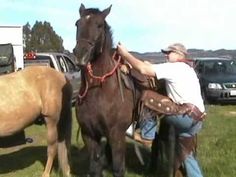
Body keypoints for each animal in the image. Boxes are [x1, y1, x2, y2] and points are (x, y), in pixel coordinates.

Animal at [74, 3, 136, 177]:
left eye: (99, 25)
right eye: (77, 24)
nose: (80, 55)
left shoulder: (117, 135)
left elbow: (118, 168)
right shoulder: (89, 134)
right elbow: (95, 167)